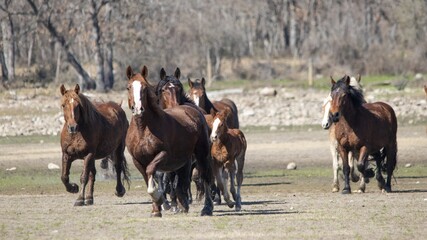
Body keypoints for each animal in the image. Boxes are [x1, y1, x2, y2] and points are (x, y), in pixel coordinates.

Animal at [126, 65, 214, 218]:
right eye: (129, 87)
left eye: (144, 87)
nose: (138, 108)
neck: (143, 130)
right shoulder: (137, 160)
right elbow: (149, 179)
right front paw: (156, 209)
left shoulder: (164, 155)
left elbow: (153, 172)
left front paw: (160, 199)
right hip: (183, 159)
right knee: (182, 180)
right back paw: (182, 203)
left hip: (201, 154)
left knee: (204, 176)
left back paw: (206, 208)